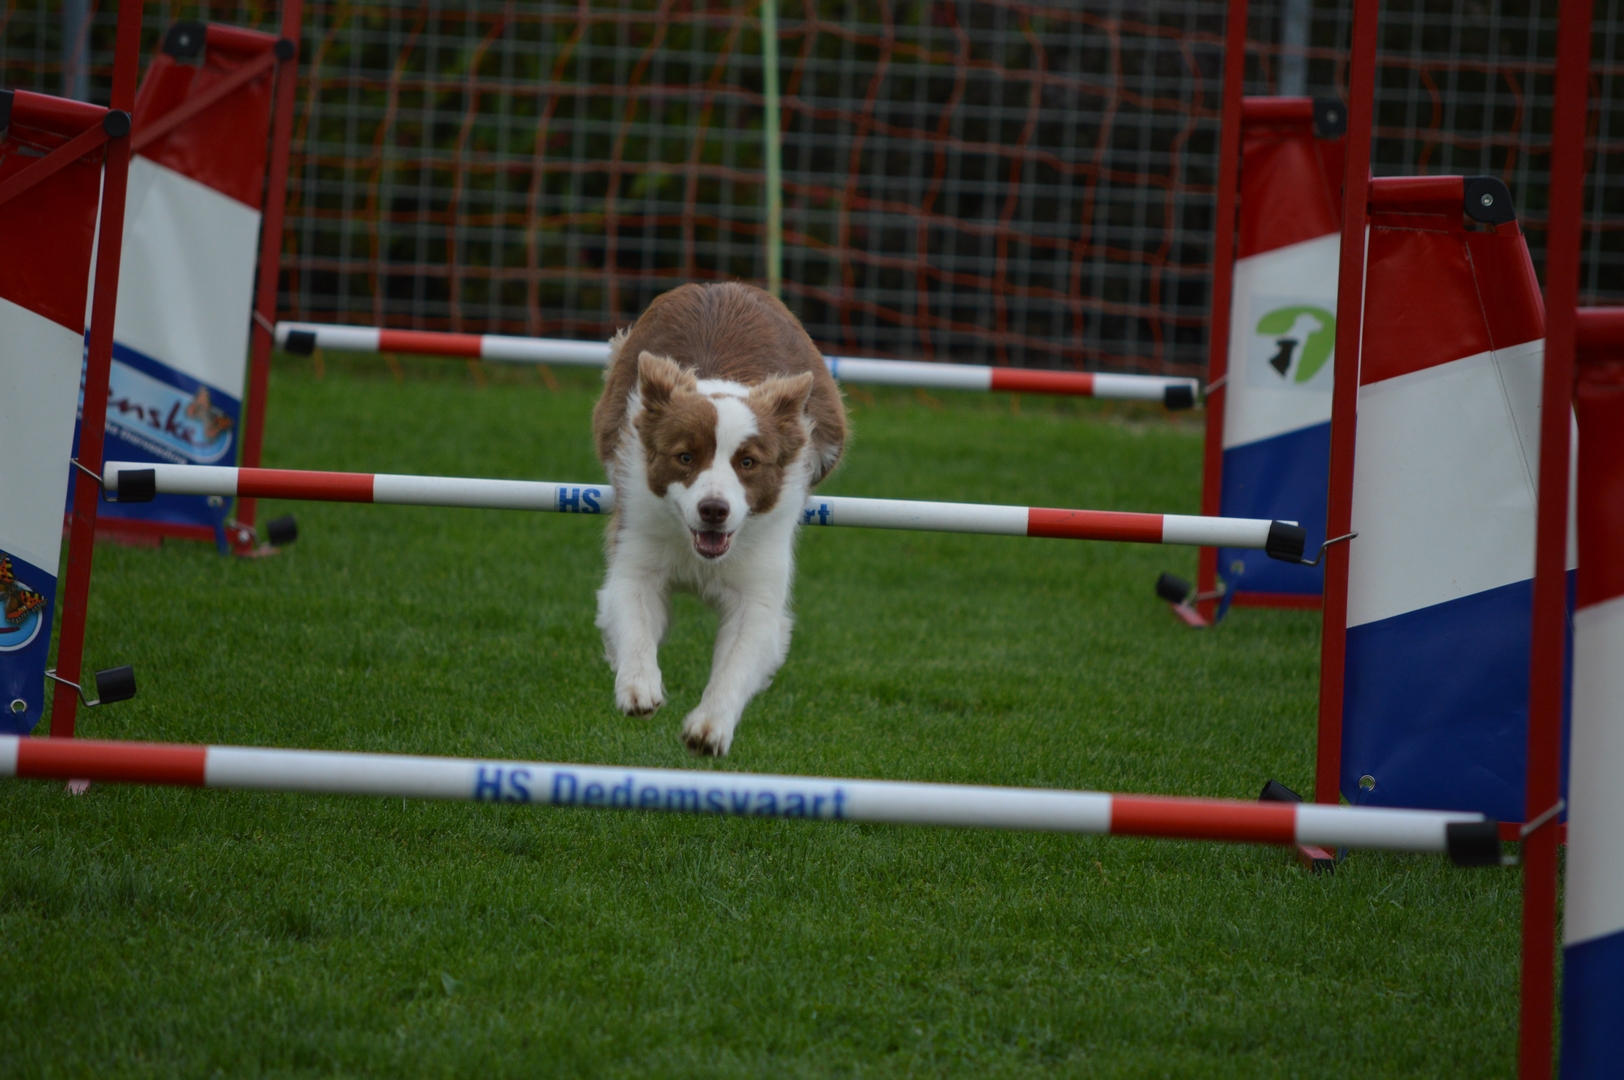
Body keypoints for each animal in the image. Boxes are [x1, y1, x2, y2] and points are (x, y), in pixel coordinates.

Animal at [597, 282, 850, 753]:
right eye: (685, 457)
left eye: (747, 462)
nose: (714, 510)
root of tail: (722, 284)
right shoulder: (636, 551)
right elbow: (634, 621)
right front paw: (638, 687)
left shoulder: (759, 589)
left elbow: (737, 661)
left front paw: (709, 726)